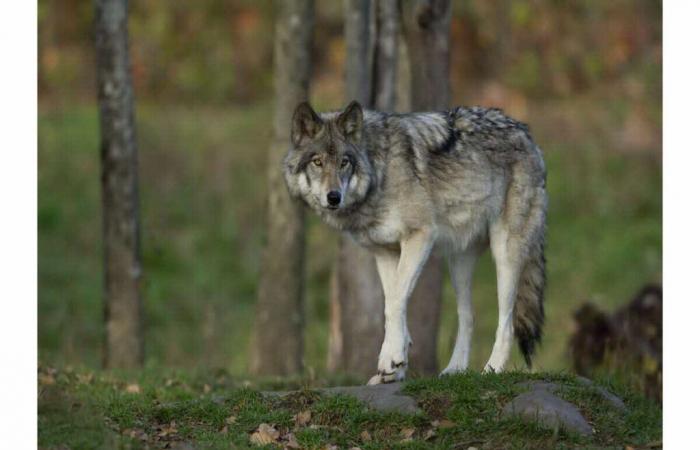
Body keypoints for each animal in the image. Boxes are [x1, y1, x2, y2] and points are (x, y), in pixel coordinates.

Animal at [284, 100, 548, 384]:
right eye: (318, 162)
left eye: (344, 162)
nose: (333, 197)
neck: (380, 171)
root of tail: (526, 133)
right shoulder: (385, 253)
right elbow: (393, 304)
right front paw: (395, 366)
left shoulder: (420, 236)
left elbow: (394, 303)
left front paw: (390, 359)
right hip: (458, 263)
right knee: (468, 316)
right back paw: (455, 370)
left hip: (505, 254)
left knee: (507, 322)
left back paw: (493, 368)